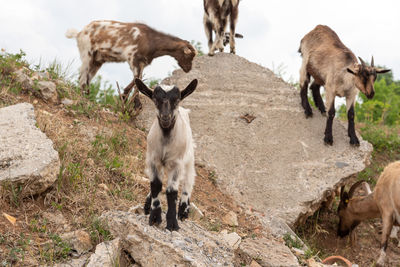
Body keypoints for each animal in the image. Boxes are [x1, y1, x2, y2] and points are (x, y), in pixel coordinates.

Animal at [134, 78, 198, 232]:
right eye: (154, 99)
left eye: (177, 99)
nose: (165, 117)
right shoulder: (153, 160)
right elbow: (156, 185)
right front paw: (155, 217)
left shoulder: (176, 163)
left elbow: (171, 191)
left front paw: (172, 224)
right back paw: (148, 204)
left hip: (189, 159)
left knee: (188, 180)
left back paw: (183, 210)